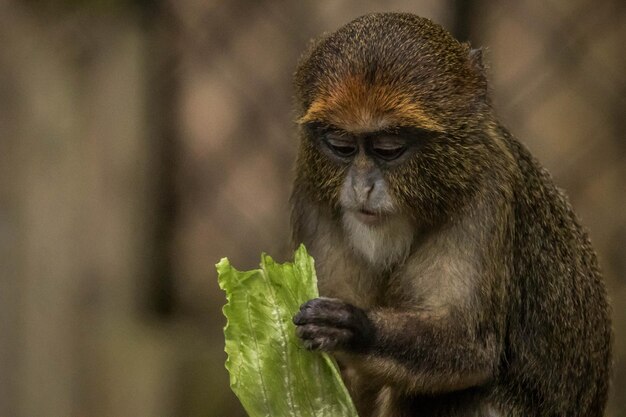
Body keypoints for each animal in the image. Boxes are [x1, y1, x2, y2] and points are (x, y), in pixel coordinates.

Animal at [290, 11, 612, 414]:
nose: (362, 187)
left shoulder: (486, 194)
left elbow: (471, 347)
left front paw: (355, 328)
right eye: (341, 146)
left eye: (389, 149)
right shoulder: (311, 189)